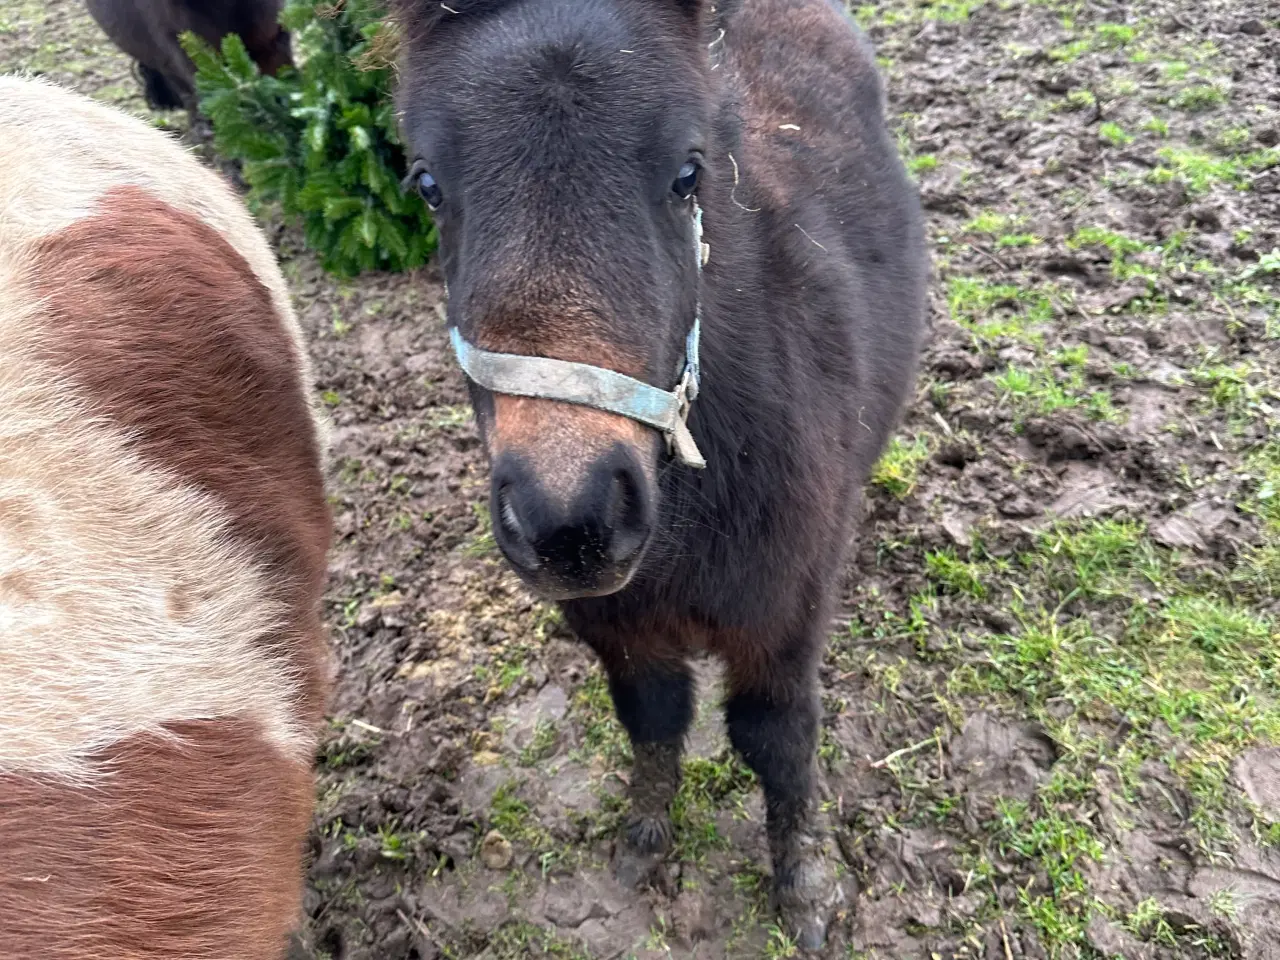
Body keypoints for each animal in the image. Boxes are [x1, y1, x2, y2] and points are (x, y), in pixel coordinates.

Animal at [394, 0, 926, 947]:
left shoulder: (784, 614)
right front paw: (644, 842)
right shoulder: (621, 624)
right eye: (426, 184)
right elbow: (653, 716)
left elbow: (777, 737)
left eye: (688, 173)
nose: (571, 523)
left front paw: (804, 886)